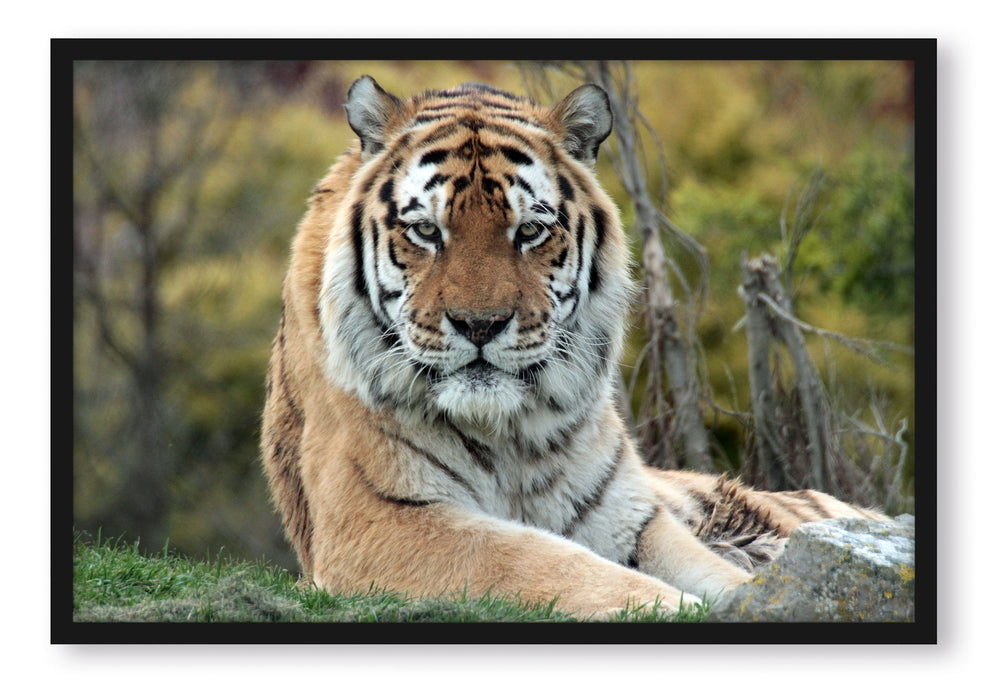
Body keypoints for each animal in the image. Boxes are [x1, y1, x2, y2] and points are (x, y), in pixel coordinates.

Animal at [261, 75, 884, 618]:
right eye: (427, 232)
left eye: (529, 232)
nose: (480, 325)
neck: (507, 435)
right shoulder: (381, 520)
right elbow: (537, 560)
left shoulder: (631, 515)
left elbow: (709, 569)